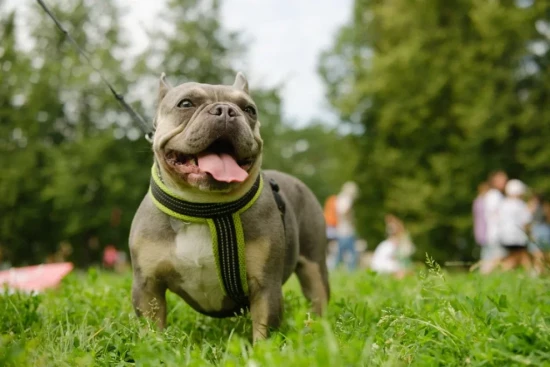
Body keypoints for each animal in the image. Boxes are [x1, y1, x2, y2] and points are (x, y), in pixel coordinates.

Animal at [129, 72, 330, 342]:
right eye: (185, 103)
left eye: (249, 110)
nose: (225, 110)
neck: (204, 209)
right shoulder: (147, 287)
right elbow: (152, 329)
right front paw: (154, 347)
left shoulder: (266, 286)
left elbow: (263, 330)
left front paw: (260, 349)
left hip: (314, 267)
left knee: (318, 298)